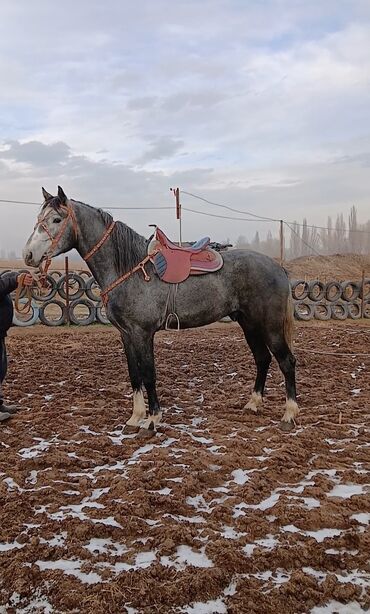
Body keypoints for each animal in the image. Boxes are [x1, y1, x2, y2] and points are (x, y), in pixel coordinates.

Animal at [23, 188, 300, 438]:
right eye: (38, 218)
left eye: (56, 219)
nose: (28, 255)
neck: (129, 269)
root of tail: (277, 267)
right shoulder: (126, 335)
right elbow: (135, 375)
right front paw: (135, 418)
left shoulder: (143, 333)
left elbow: (148, 374)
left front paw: (152, 420)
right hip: (249, 324)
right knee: (262, 359)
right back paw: (253, 404)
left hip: (270, 326)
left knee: (286, 361)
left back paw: (289, 415)